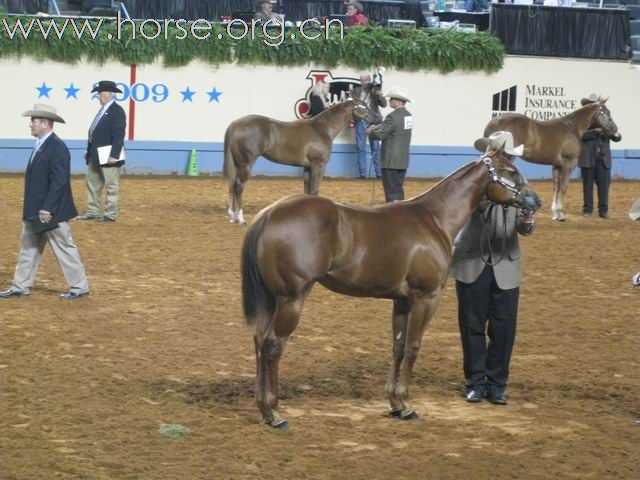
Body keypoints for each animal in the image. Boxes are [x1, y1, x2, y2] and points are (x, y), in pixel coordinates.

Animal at [222, 99, 368, 225]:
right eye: (364, 107)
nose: (373, 118)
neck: (322, 129)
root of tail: (234, 124)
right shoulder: (318, 166)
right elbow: (314, 190)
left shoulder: (307, 168)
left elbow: (307, 191)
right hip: (246, 164)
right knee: (239, 187)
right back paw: (240, 218)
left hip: (237, 164)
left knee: (232, 185)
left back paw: (233, 216)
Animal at [240, 149, 540, 428]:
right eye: (512, 171)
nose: (534, 202)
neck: (433, 219)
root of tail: (268, 214)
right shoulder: (426, 297)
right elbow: (413, 347)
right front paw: (407, 405)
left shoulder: (402, 301)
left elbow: (398, 346)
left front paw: (395, 404)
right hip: (291, 299)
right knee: (273, 345)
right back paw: (274, 413)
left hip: (270, 299)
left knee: (259, 342)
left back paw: (263, 409)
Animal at [484, 101, 620, 223]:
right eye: (605, 113)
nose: (617, 133)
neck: (573, 128)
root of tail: (495, 121)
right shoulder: (569, 163)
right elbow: (564, 187)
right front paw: (561, 215)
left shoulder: (556, 165)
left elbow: (556, 186)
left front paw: (555, 214)